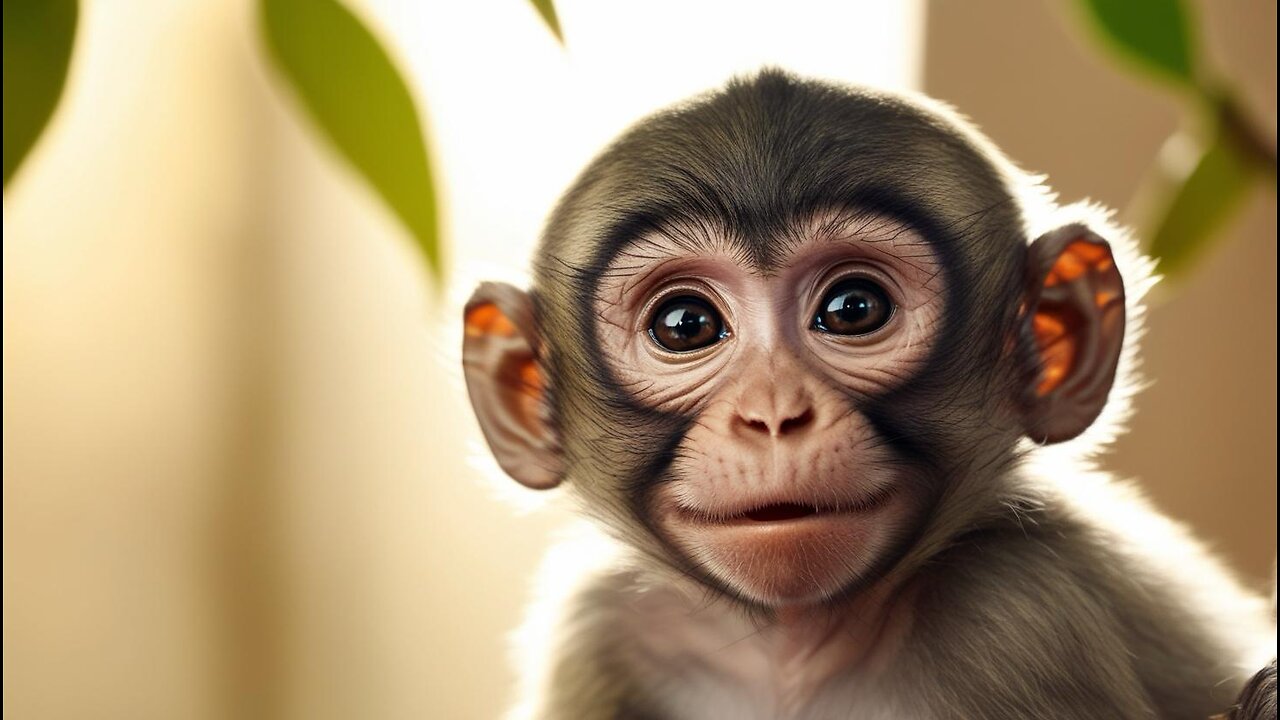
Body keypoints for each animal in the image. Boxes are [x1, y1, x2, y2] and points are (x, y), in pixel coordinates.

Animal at [460, 70, 1276, 719]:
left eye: (854, 309)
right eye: (685, 324)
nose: (774, 416)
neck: (793, 649)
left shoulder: (1022, 620)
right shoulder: (599, 631)